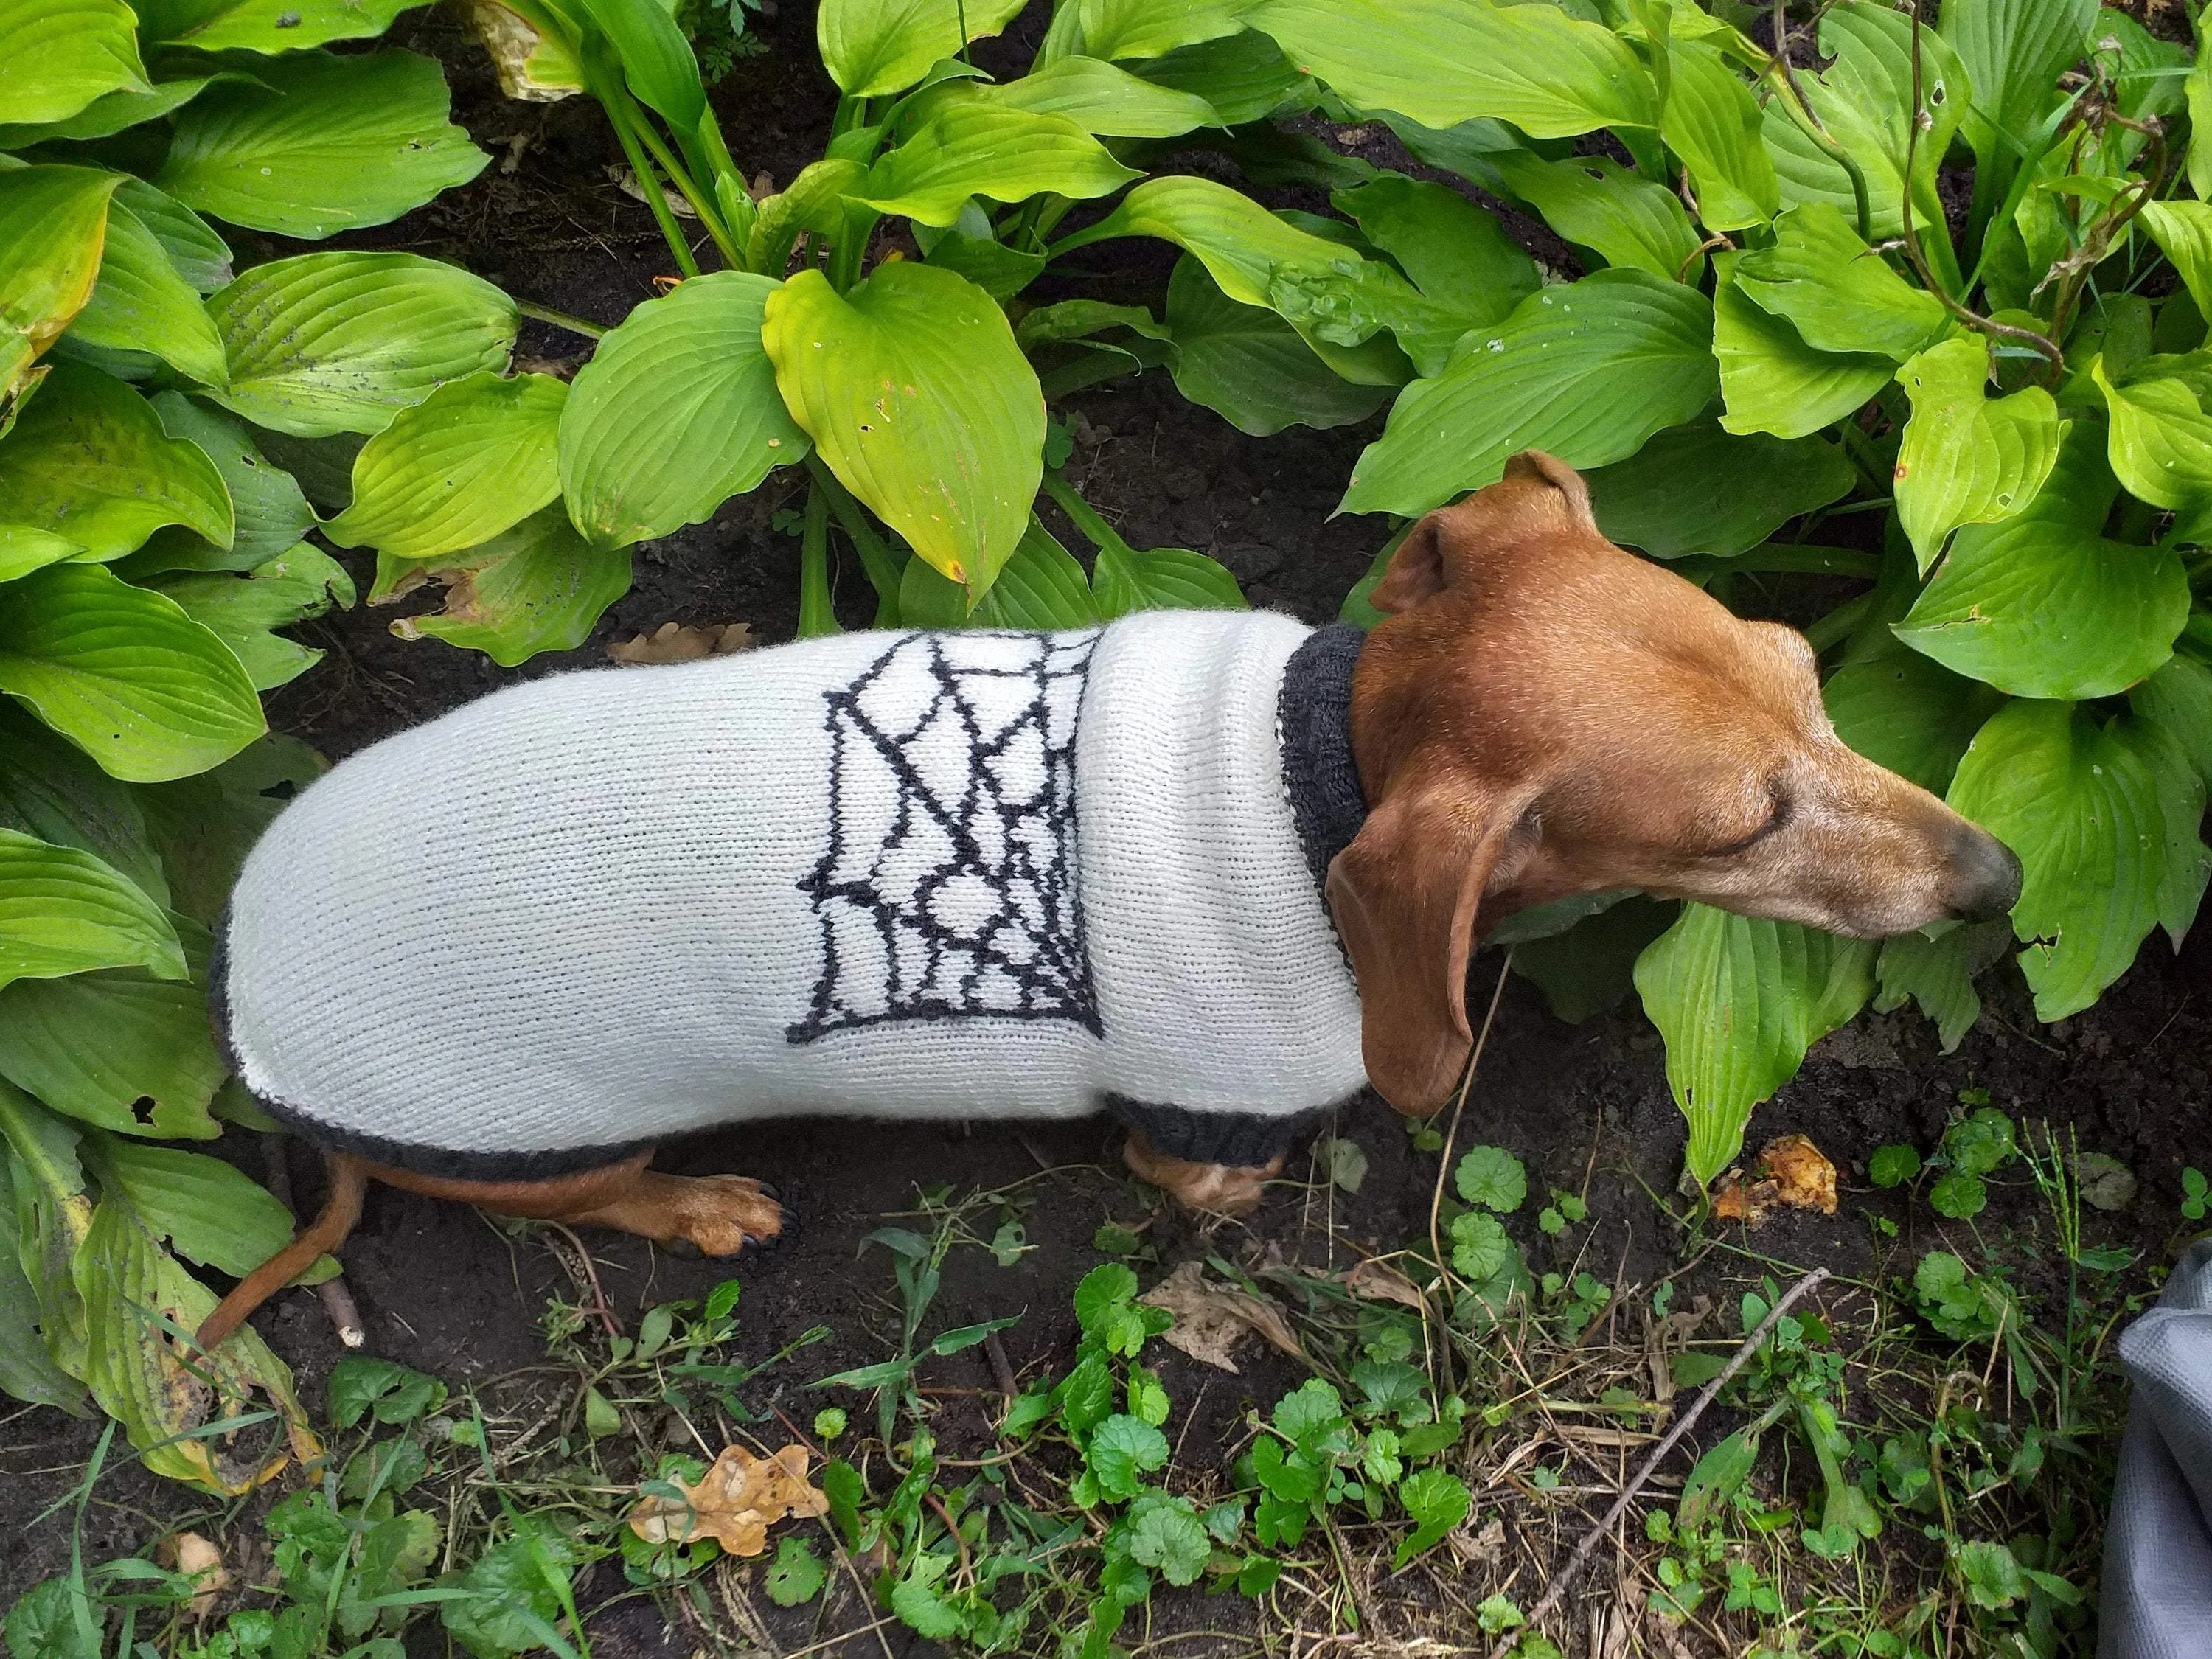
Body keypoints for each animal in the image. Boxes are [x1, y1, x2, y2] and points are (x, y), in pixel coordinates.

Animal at [199, 451, 2017, 1354]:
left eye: (1808, 677)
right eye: (1741, 828)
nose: (1995, 879)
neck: (1312, 769)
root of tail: (250, 1016)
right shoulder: (1203, 1110)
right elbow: (1210, 1175)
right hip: (543, 1140)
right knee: (577, 1205)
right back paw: (699, 1202)